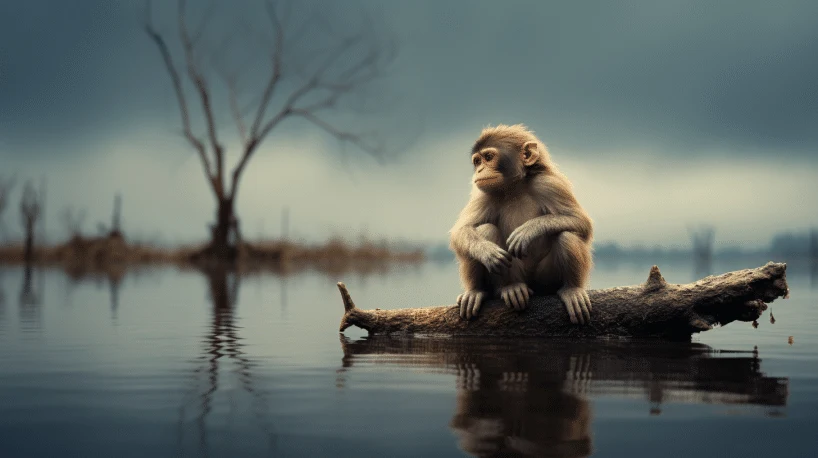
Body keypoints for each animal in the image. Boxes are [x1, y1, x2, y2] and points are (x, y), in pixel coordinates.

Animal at [449, 124, 593, 325]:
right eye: (477, 161)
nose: (479, 171)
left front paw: (529, 230)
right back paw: (496, 289)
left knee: (566, 234)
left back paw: (572, 289)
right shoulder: (484, 193)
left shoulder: (548, 183)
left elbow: (581, 223)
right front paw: (487, 252)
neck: (514, 188)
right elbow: (461, 231)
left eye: (488, 157)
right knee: (485, 230)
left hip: (544, 281)